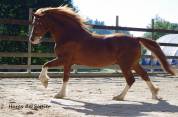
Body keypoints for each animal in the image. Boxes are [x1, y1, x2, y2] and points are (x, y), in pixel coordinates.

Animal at [29, 5, 175, 100]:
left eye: (37, 23)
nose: (32, 39)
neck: (70, 35)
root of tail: (136, 39)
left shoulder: (64, 60)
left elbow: (50, 67)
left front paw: (51, 87)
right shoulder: (67, 62)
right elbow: (58, 73)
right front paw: (57, 91)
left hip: (125, 64)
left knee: (131, 79)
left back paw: (119, 97)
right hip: (133, 64)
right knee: (144, 75)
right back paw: (154, 94)